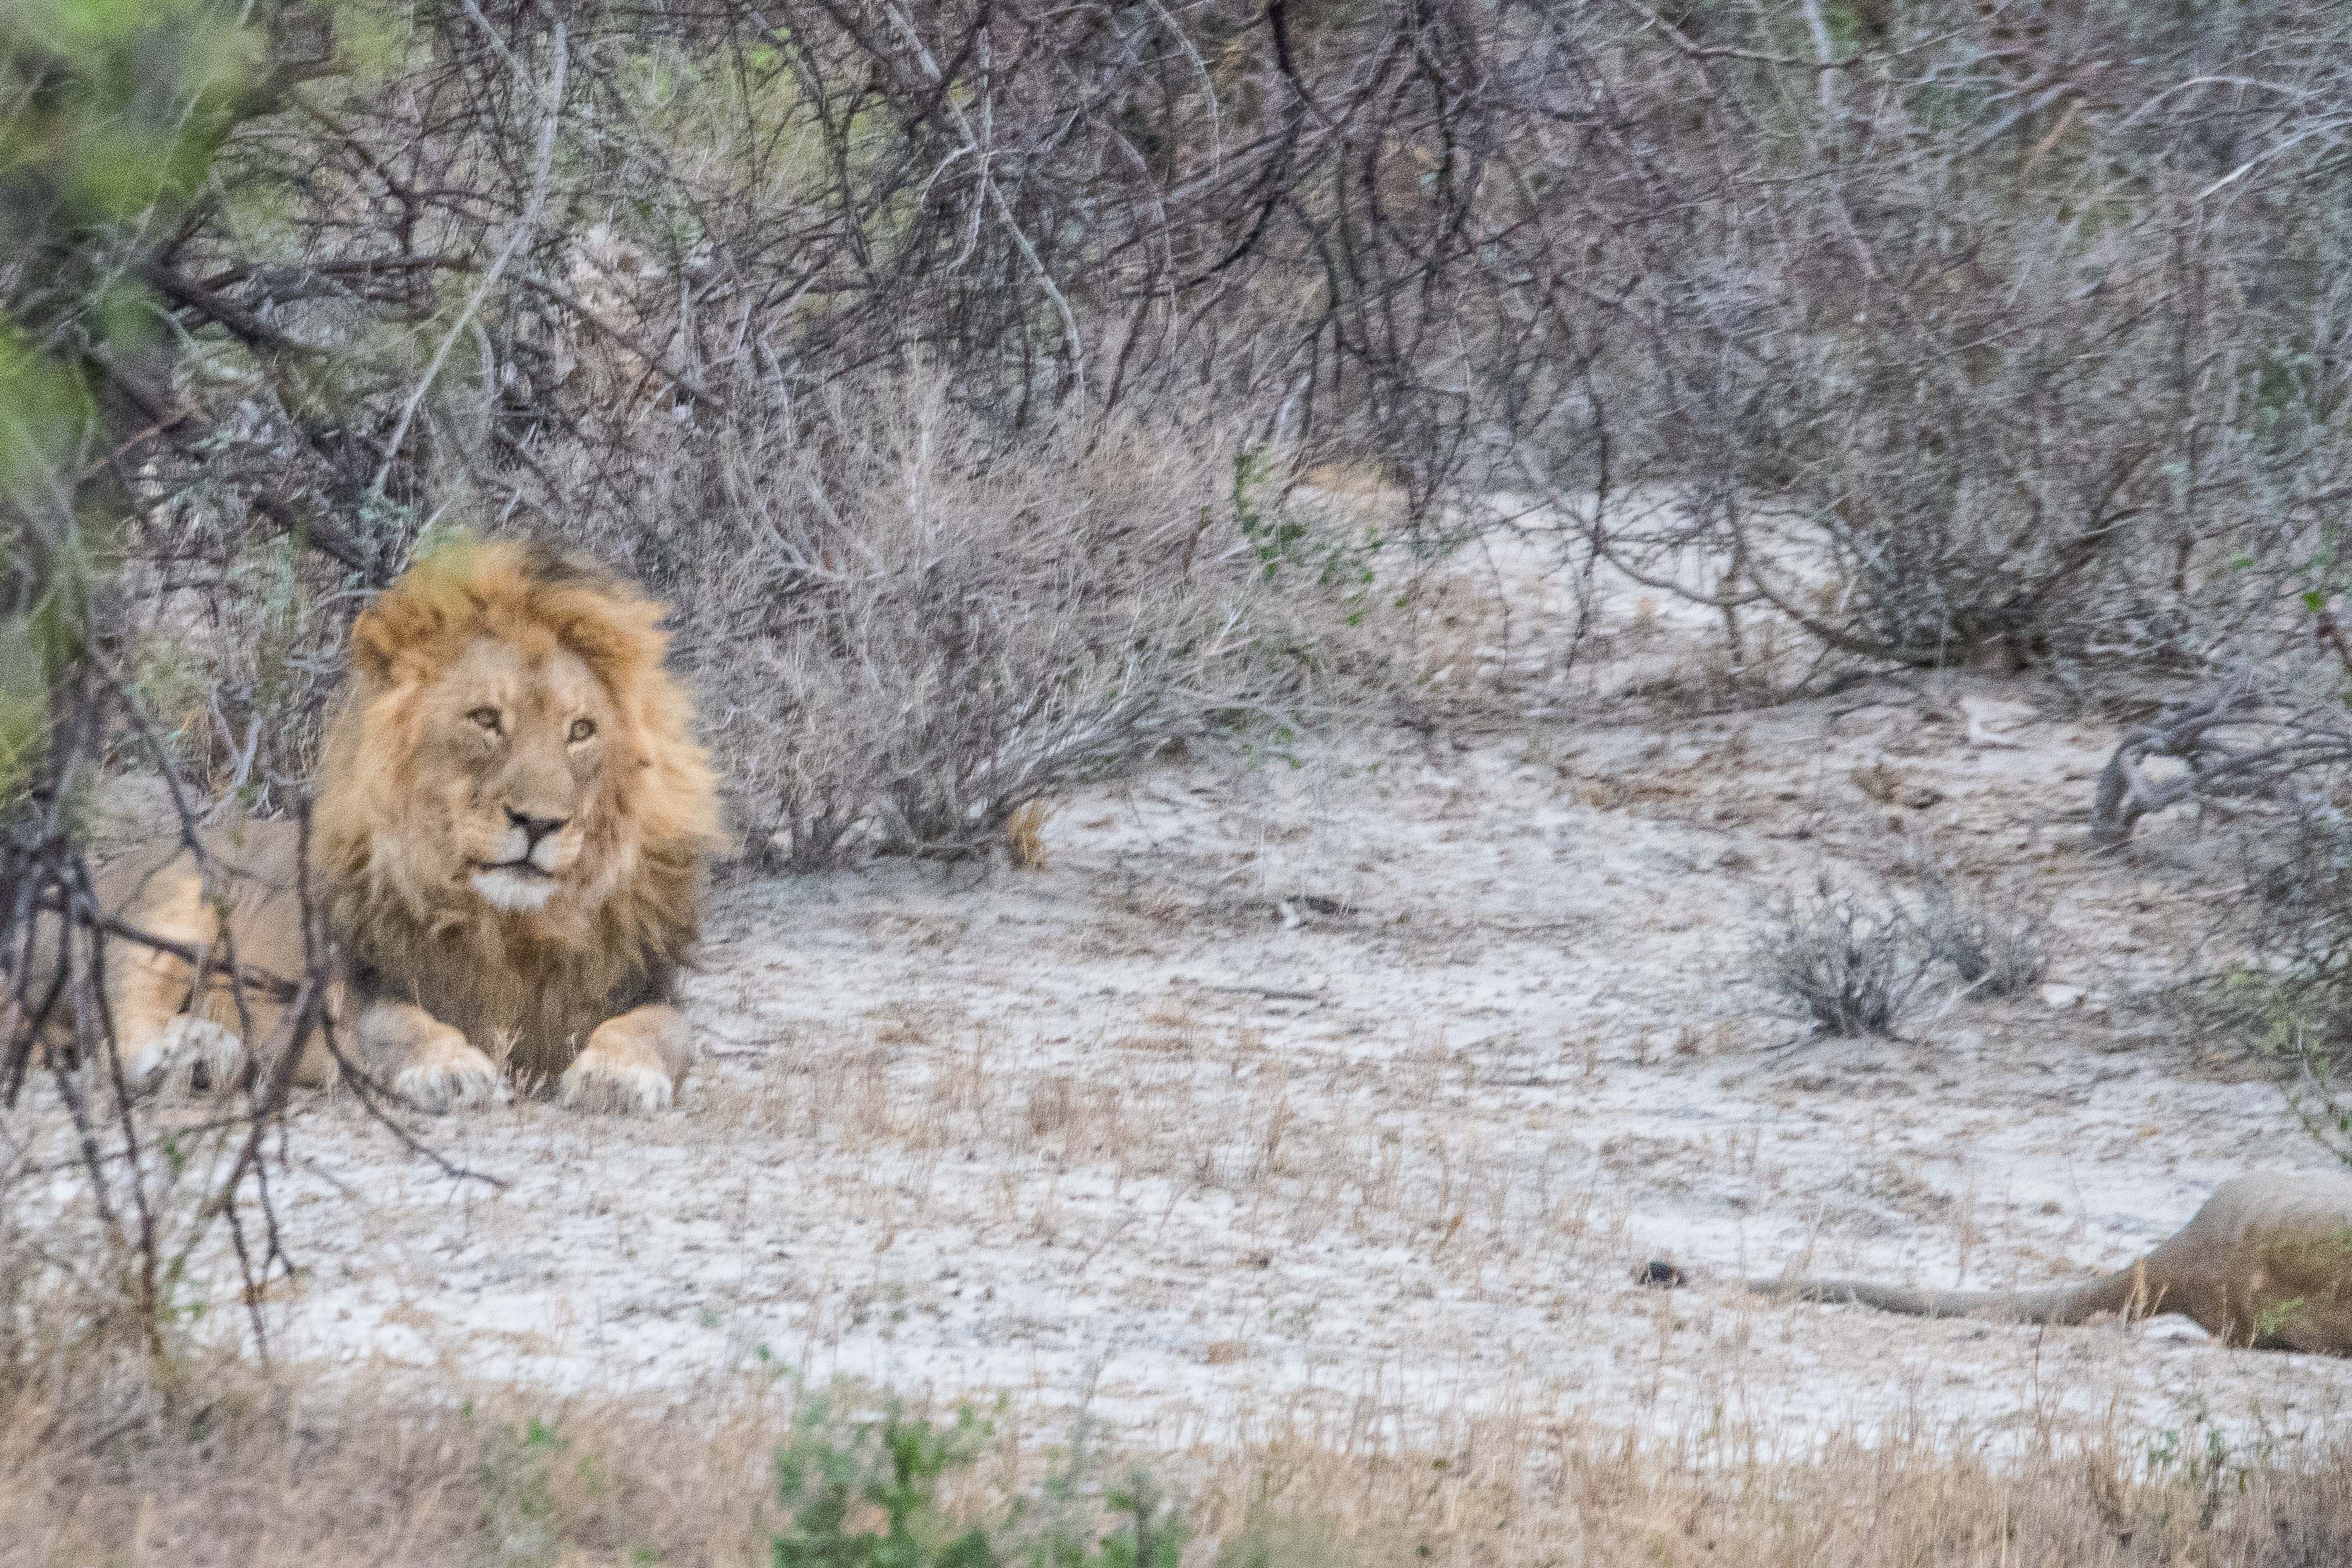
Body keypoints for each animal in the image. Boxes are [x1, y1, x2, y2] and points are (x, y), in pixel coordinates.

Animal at [39, 541, 724, 1114]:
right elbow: (400, 1027)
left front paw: (618, 1076)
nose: (540, 822)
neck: (513, 927)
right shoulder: (361, 993)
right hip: (165, 911)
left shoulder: (641, 987)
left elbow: (657, 1030)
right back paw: (189, 1056)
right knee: (115, 1026)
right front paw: (450, 1071)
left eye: (581, 731)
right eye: (486, 719)